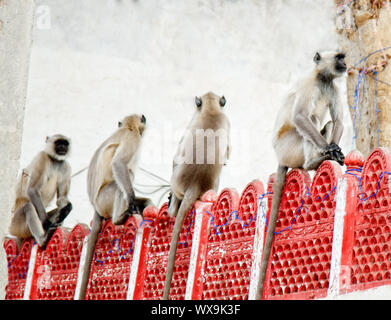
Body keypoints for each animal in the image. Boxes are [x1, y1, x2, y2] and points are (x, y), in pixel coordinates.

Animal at [76, 114, 152, 300]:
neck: (128, 127)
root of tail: (95, 207)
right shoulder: (132, 138)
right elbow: (119, 164)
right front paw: (132, 201)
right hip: (105, 199)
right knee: (125, 176)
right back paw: (119, 218)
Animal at [256, 50, 348, 300]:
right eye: (339, 57)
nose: (345, 64)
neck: (323, 79)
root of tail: (280, 156)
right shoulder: (309, 84)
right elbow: (299, 117)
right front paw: (330, 150)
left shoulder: (334, 87)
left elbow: (338, 121)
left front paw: (335, 150)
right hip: (289, 147)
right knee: (310, 119)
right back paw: (313, 161)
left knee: (327, 123)